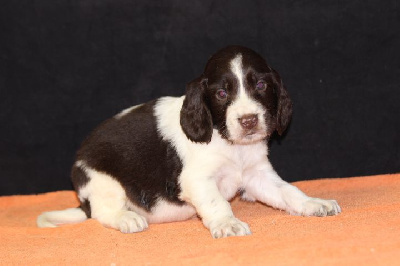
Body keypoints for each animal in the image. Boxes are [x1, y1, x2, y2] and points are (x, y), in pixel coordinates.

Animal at [37, 45, 340, 239]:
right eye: (221, 93)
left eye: (261, 86)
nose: (249, 120)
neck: (226, 140)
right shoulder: (197, 180)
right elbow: (218, 202)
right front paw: (227, 223)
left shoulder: (257, 174)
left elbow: (288, 192)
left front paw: (314, 203)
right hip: (102, 182)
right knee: (102, 212)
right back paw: (127, 217)